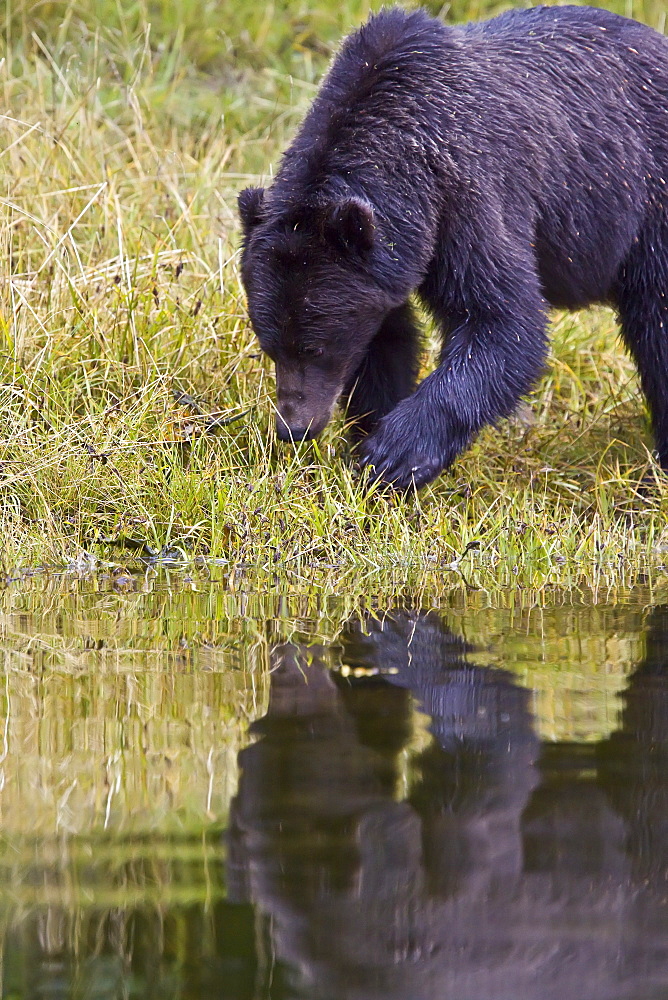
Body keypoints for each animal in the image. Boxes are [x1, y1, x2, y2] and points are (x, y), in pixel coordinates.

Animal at [237, 5, 668, 490]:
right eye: (270, 344)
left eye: (315, 347)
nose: (294, 427)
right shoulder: (388, 264)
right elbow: (388, 339)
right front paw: (369, 434)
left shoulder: (465, 198)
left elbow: (501, 322)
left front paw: (395, 453)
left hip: (648, 204)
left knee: (656, 325)